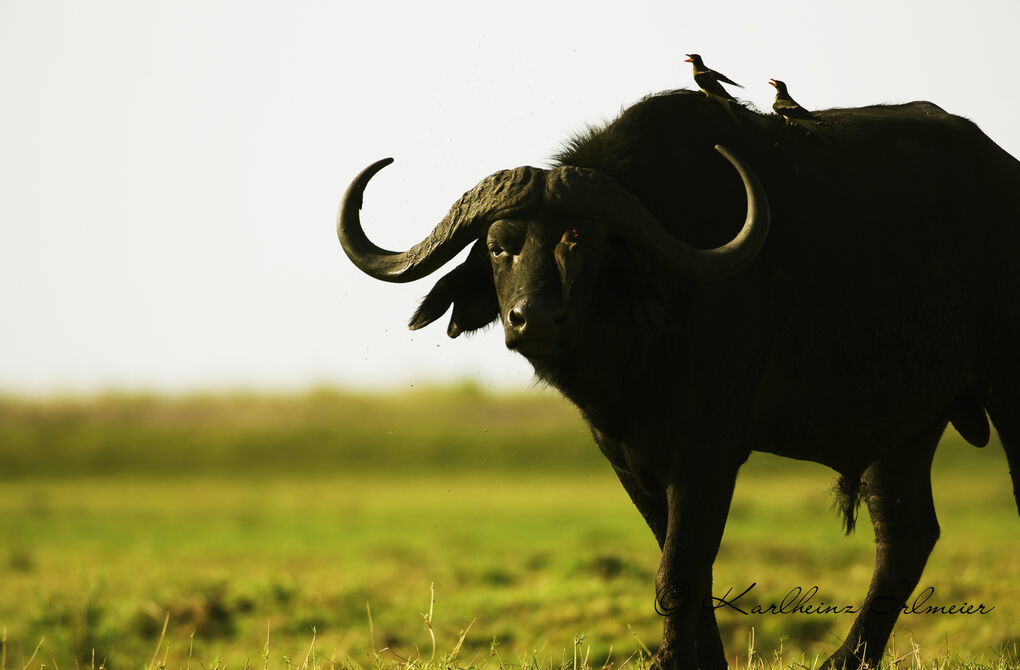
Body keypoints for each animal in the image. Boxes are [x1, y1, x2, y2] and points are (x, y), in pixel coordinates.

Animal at [336, 90, 1020, 668]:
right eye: (501, 245)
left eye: (580, 240)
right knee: (906, 536)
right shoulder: (628, 455)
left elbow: (680, 572)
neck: (638, 358)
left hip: (1003, 386)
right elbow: (686, 565)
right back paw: (845, 660)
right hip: (903, 431)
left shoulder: (710, 449)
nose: (536, 319)